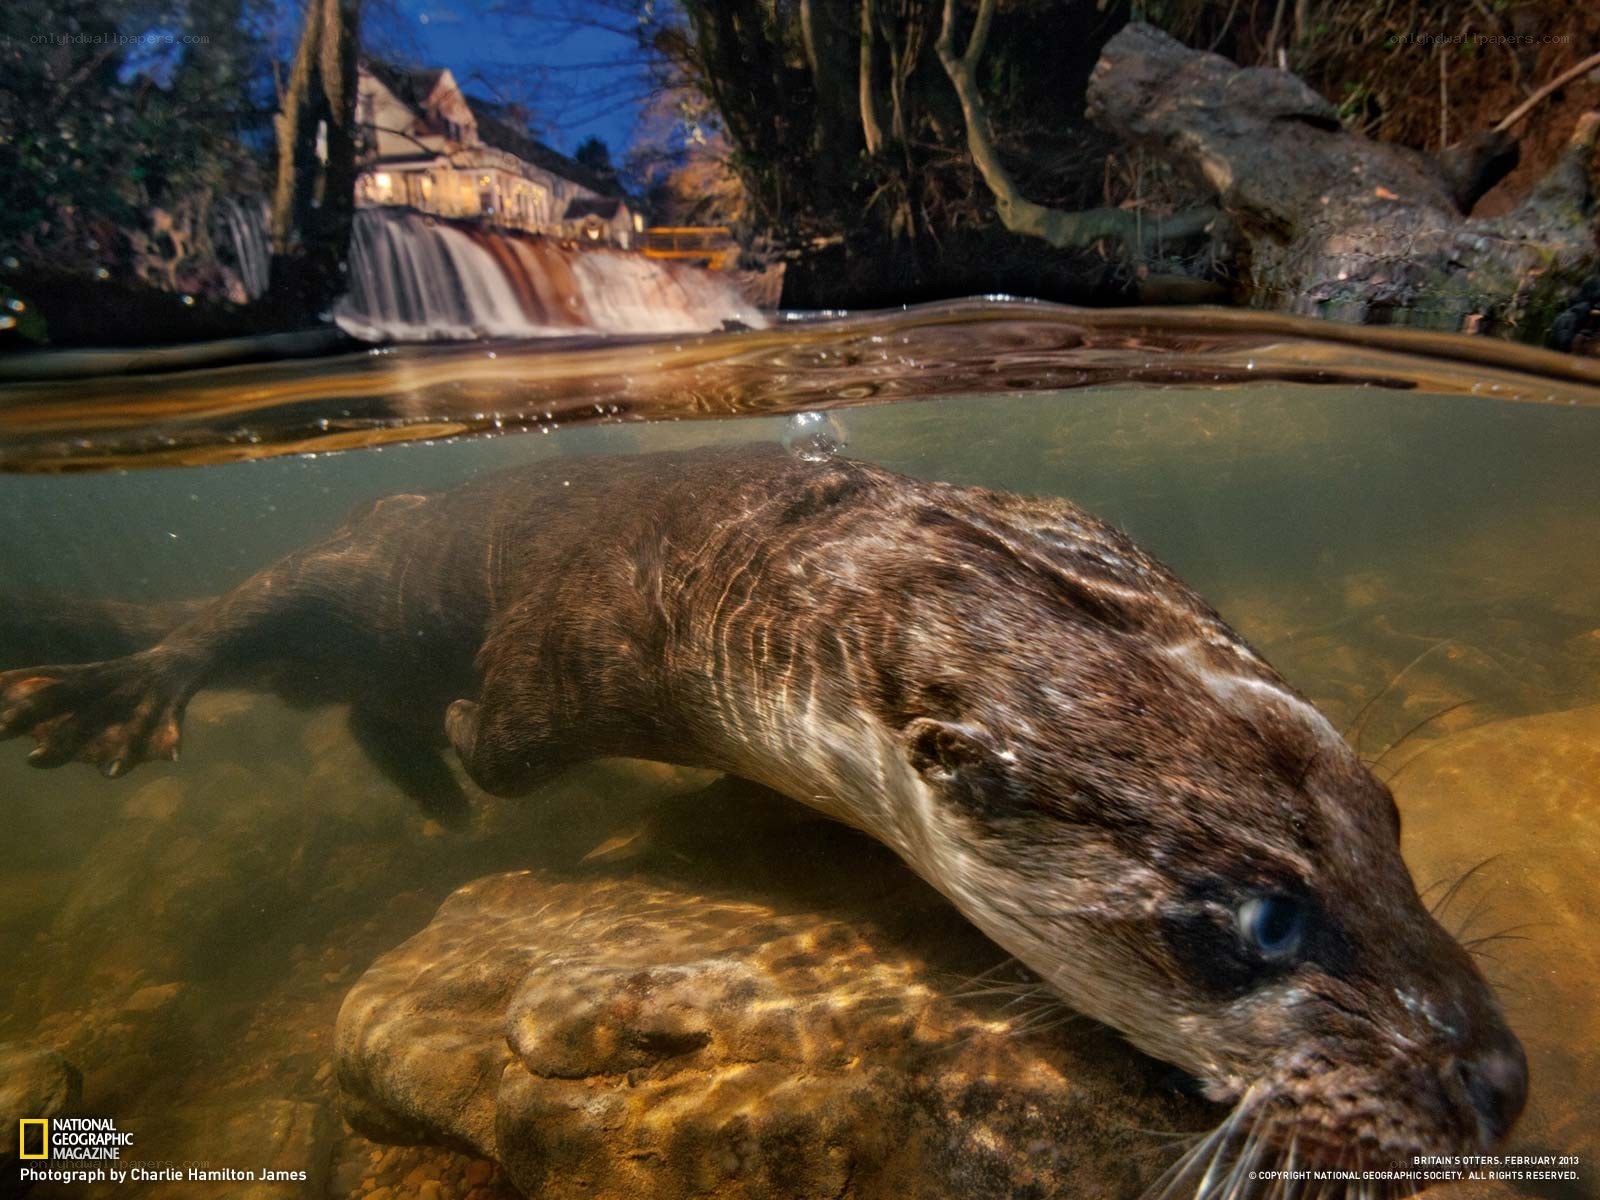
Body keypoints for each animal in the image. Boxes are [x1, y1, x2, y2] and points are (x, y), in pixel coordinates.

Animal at [0, 444, 1525, 1173]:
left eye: (1391, 816)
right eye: (1265, 920)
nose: (1494, 1081)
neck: (771, 571)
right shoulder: (578, 646)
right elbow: (497, 733)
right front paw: (464, 741)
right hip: (364, 566)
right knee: (241, 622)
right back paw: (124, 696)